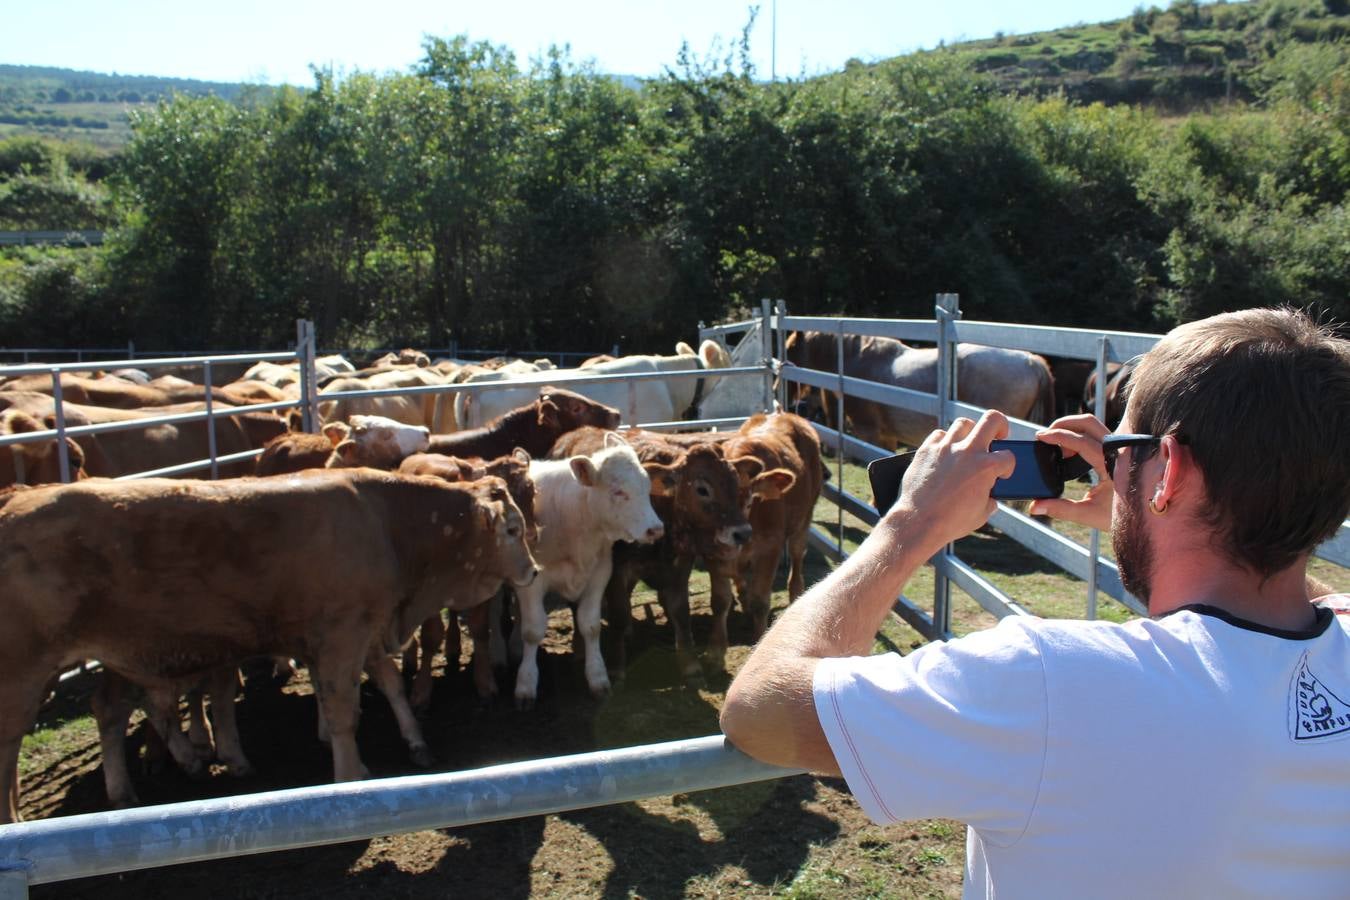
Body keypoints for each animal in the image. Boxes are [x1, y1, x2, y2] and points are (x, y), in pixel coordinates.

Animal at [0, 472, 537, 825]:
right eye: (511, 529)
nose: (532, 570)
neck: (384, 521)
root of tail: (15, 499)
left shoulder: (363, 631)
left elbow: (387, 686)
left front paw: (413, 741)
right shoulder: (341, 634)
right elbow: (342, 711)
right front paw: (351, 774)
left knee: (111, 711)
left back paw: (131, 789)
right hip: (23, 675)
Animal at [783, 329, 1053, 450]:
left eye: (790, 349)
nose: (781, 388)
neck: (854, 359)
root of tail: (1031, 361)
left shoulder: (870, 432)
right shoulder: (887, 435)